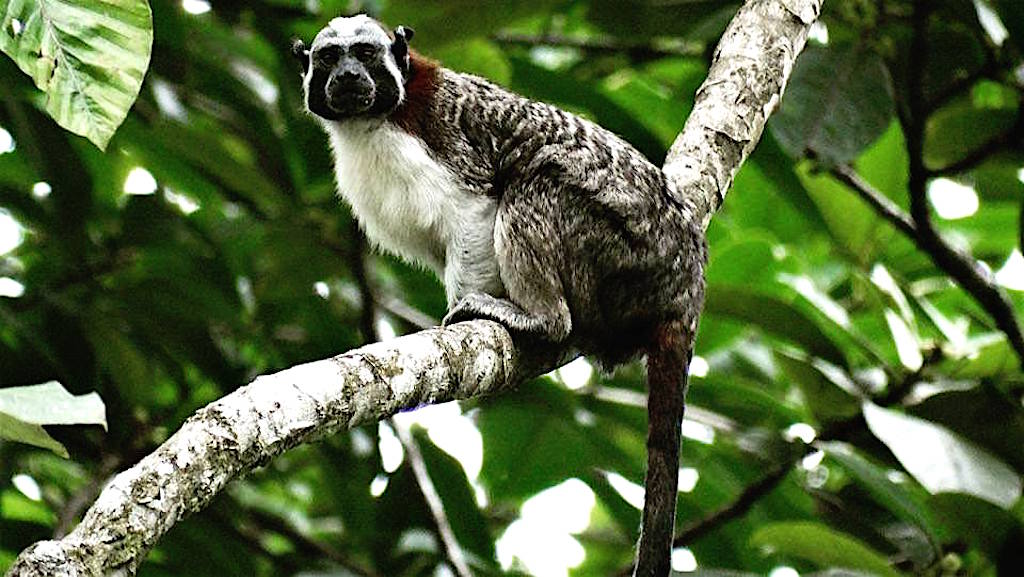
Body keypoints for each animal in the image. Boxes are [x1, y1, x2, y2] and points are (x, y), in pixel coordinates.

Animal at [292, 15, 708, 573]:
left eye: (364, 54)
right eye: (330, 59)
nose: (350, 77)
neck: (378, 119)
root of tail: (684, 288)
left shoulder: (437, 142)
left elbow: (474, 209)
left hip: (622, 250)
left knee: (535, 184)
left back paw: (542, 317)